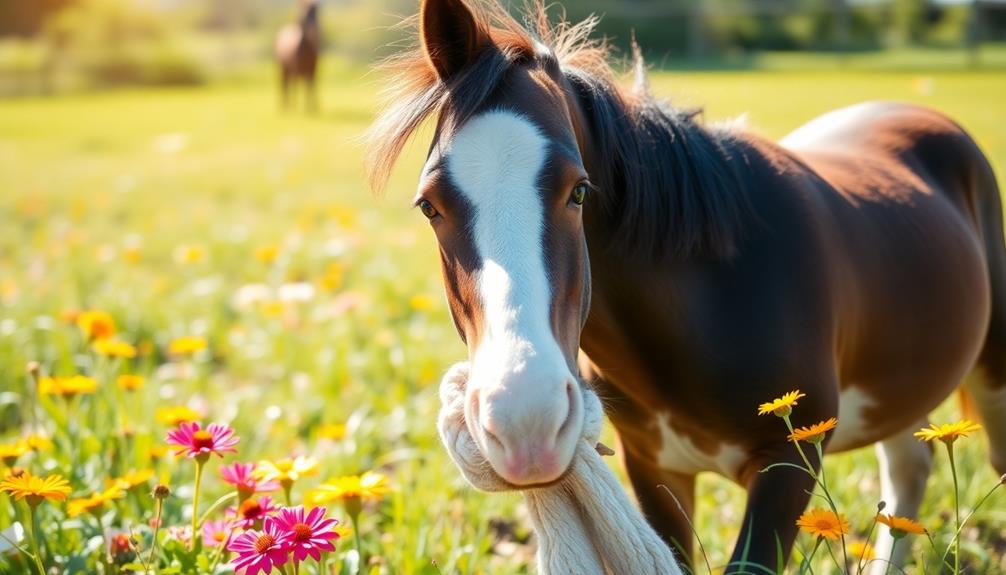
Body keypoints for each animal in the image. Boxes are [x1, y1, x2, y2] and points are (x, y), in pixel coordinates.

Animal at [366, 0, 1001, 570]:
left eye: (579, 190)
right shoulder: (655, 470)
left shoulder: (788, 464)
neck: (715, 297)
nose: (526, 423)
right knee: (907, 474)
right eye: (429, 205)